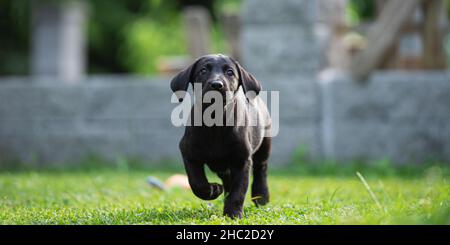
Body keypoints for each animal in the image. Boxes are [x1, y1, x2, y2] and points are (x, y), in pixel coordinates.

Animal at [171, 54, 270, 218]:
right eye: (203, 70)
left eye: (230, 72)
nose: (217, 85)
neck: (215, 122)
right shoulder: (188, 153)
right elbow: (196, 182)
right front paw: (213, 190)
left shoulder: (242, 160)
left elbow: (238, 191)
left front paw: (233, 214)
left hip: (265, 143)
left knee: (261, 168)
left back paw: (261, 195)